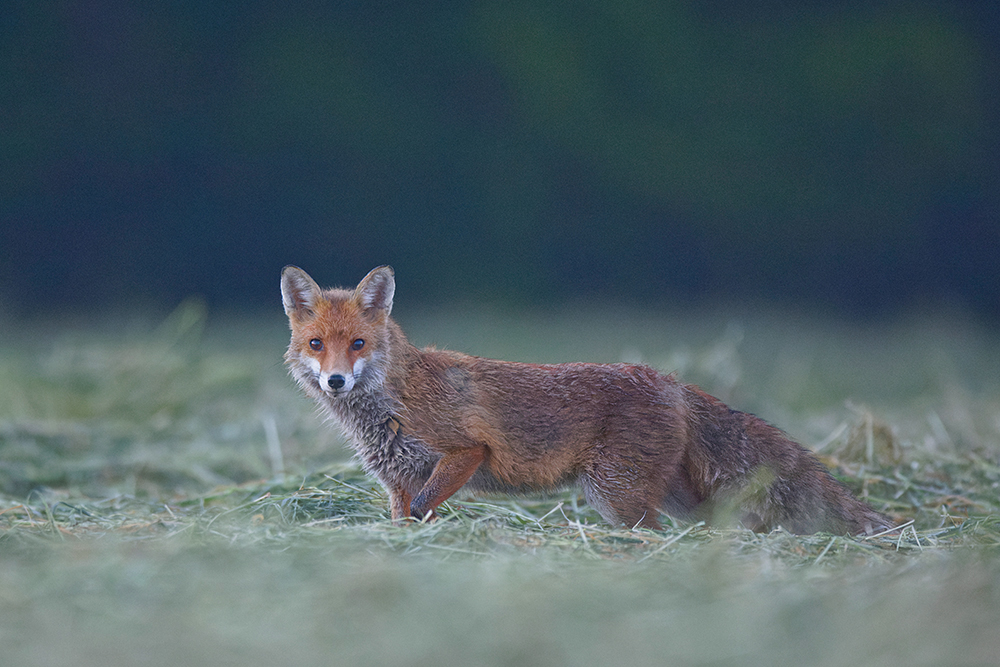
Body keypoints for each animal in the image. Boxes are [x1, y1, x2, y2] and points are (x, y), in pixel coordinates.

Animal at [284, 266, 900, 536]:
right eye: (317, 345)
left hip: (616, 495)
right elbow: (406, 516)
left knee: (656, 532)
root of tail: (671, 381)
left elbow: (427, 504)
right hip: (669, 495)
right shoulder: (397, 481)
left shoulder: (463, 452)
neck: (391, 403)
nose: (336, 381)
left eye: (357, 345)